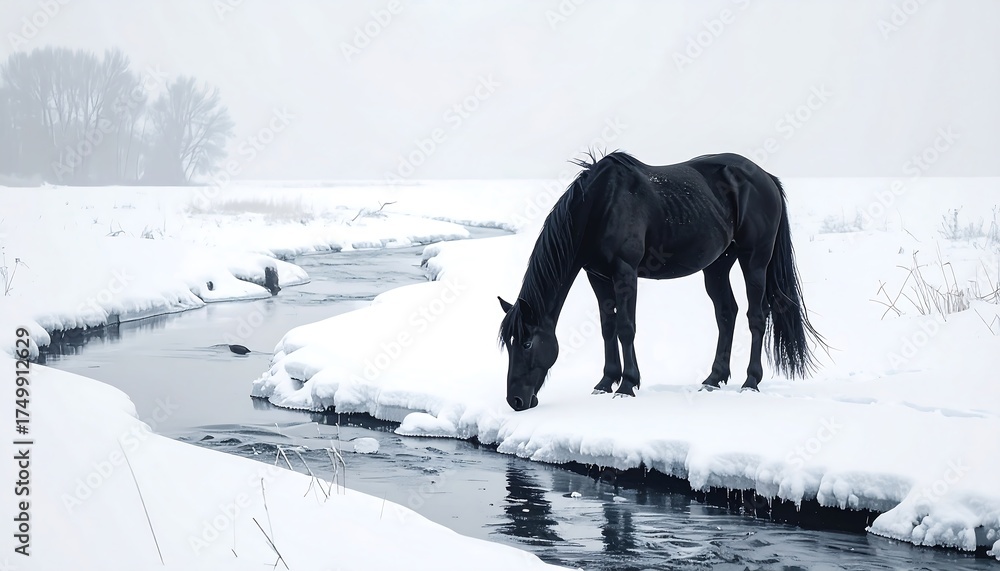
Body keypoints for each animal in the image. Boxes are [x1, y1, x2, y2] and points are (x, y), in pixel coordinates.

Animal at [498, 151, 826, 411]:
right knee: (726, 313)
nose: (516, 401)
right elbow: (607, 327)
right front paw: (605, 382)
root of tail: (766, 178)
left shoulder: (625, 272)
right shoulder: (597, 276)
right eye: (509, 344)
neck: (602, 205)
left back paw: (750, 381)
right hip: (718, 265)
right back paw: (713, 379)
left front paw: (627, 385)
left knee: (756, 316)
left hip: (754, 260)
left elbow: (625, 327)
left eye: (526, 343)